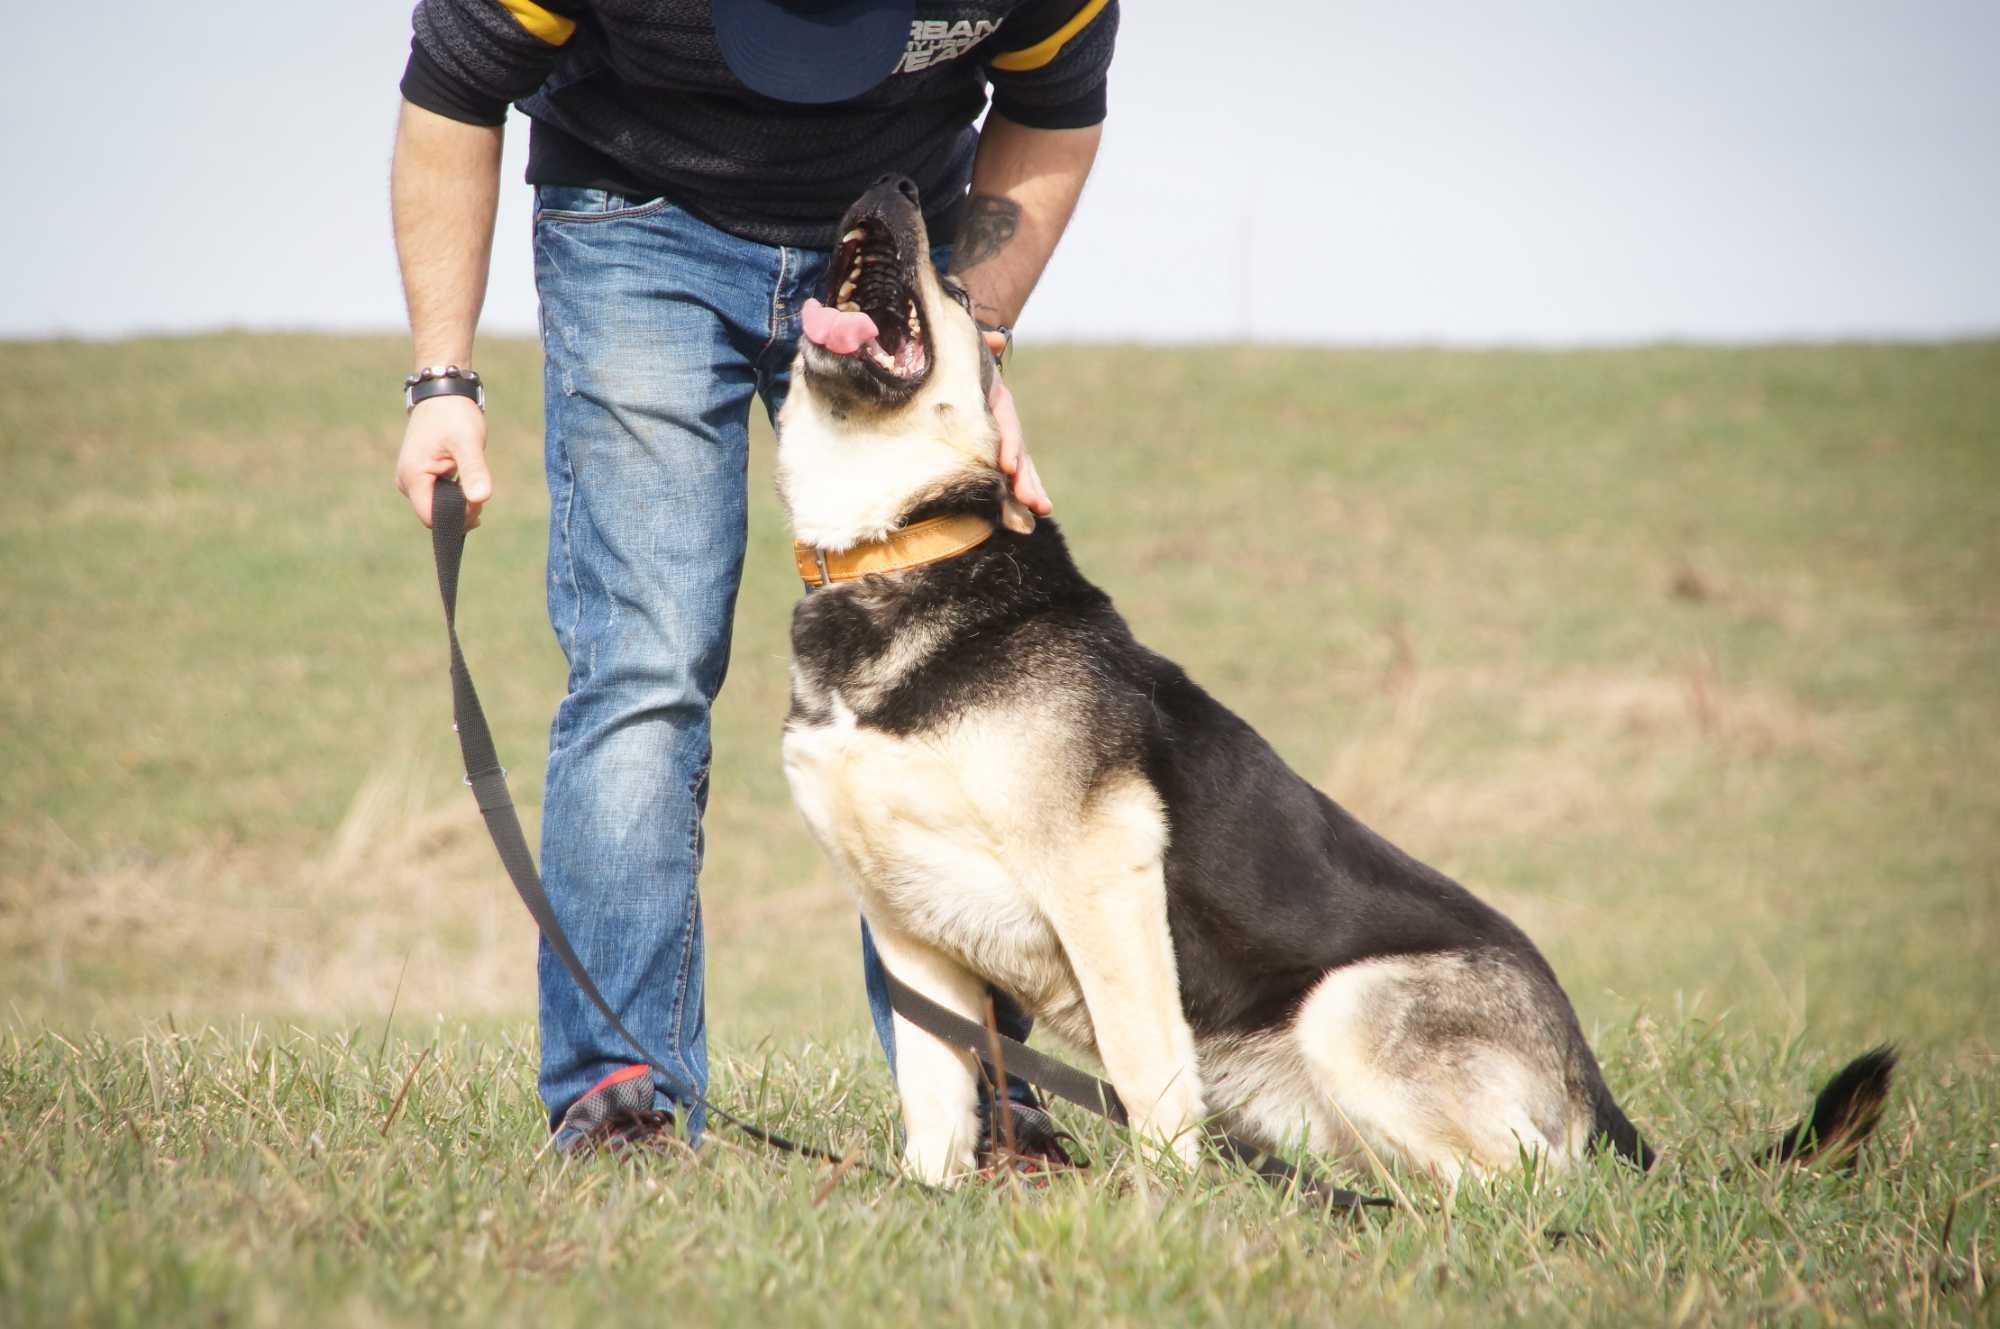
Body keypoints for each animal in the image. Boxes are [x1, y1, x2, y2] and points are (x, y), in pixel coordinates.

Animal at [772, 174, 1896, 1184]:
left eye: (964, 294)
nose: (887, 182)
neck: (891, 552)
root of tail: (1596, 1096)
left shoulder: (1100, 881)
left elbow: (1145, 1074)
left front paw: (1155, 1209)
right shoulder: (906, 930)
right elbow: (935, 1097)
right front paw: (927, 1198)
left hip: (1345, 1008)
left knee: (1533, 1183)